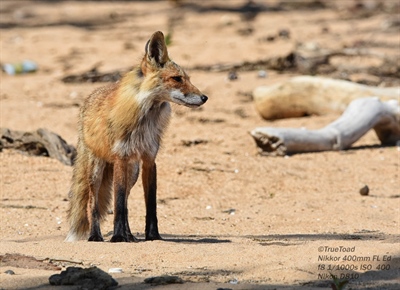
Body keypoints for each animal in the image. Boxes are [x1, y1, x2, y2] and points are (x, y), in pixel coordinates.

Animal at [66, 31, 208, 242]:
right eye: (177, 79)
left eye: (188, 79)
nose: (204, 97)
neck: (145, 122)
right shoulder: (120, 157)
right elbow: (117, 205)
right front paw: (117, 237)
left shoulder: (149, 159)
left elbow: (149, 205)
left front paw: (153, 236)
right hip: (97, 170)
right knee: (93, 203)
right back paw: (96, 236)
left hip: (132, 171)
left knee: (124, 203)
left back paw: (130, 235)